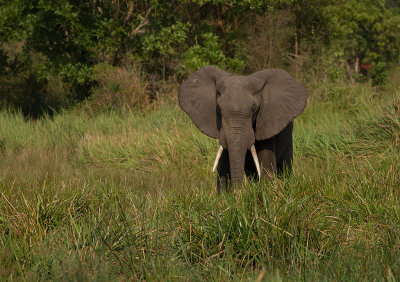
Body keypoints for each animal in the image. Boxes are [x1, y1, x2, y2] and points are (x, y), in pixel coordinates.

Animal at [178, 65, 306, 192]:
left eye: (254, 109)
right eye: (219, 108)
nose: (238, 193)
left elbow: (265, 163)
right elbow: (223, 163)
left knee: (285, 167)